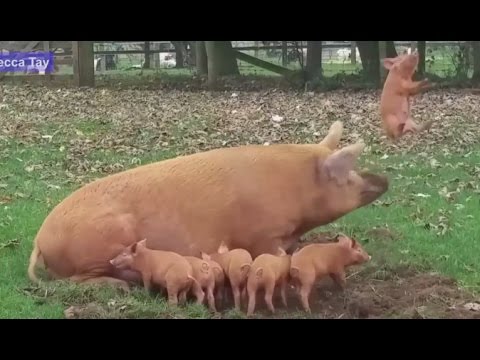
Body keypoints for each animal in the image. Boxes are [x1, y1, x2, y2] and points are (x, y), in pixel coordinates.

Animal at [27, 121, 390, 292]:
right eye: (346, 175)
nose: (384, 179)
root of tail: (39, 240)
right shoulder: (262, 234)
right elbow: (273, 256)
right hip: (100, 246)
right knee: (78, 279)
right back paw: (121, 286)